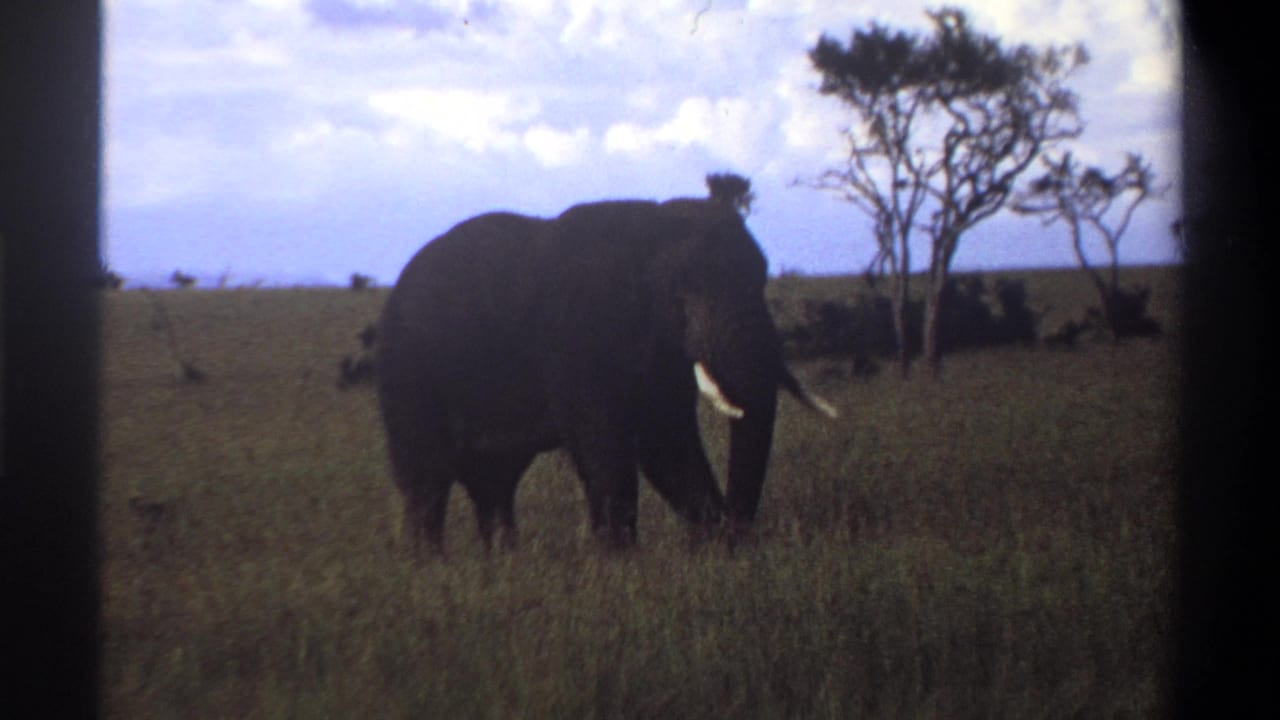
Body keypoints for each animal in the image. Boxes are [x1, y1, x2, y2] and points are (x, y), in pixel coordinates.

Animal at [376, 198, 836, 554]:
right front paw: (619, 565)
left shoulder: (659, 350)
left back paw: (502, 564)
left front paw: (714, 549)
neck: (651, 229)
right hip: (409, 374)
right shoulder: (580, 337)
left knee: (493, 483)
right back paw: (430, 568)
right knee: (427, 479)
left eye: (762, 278)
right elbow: (604, 441)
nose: (738, 534)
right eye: (685, 291)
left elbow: (666, 443)